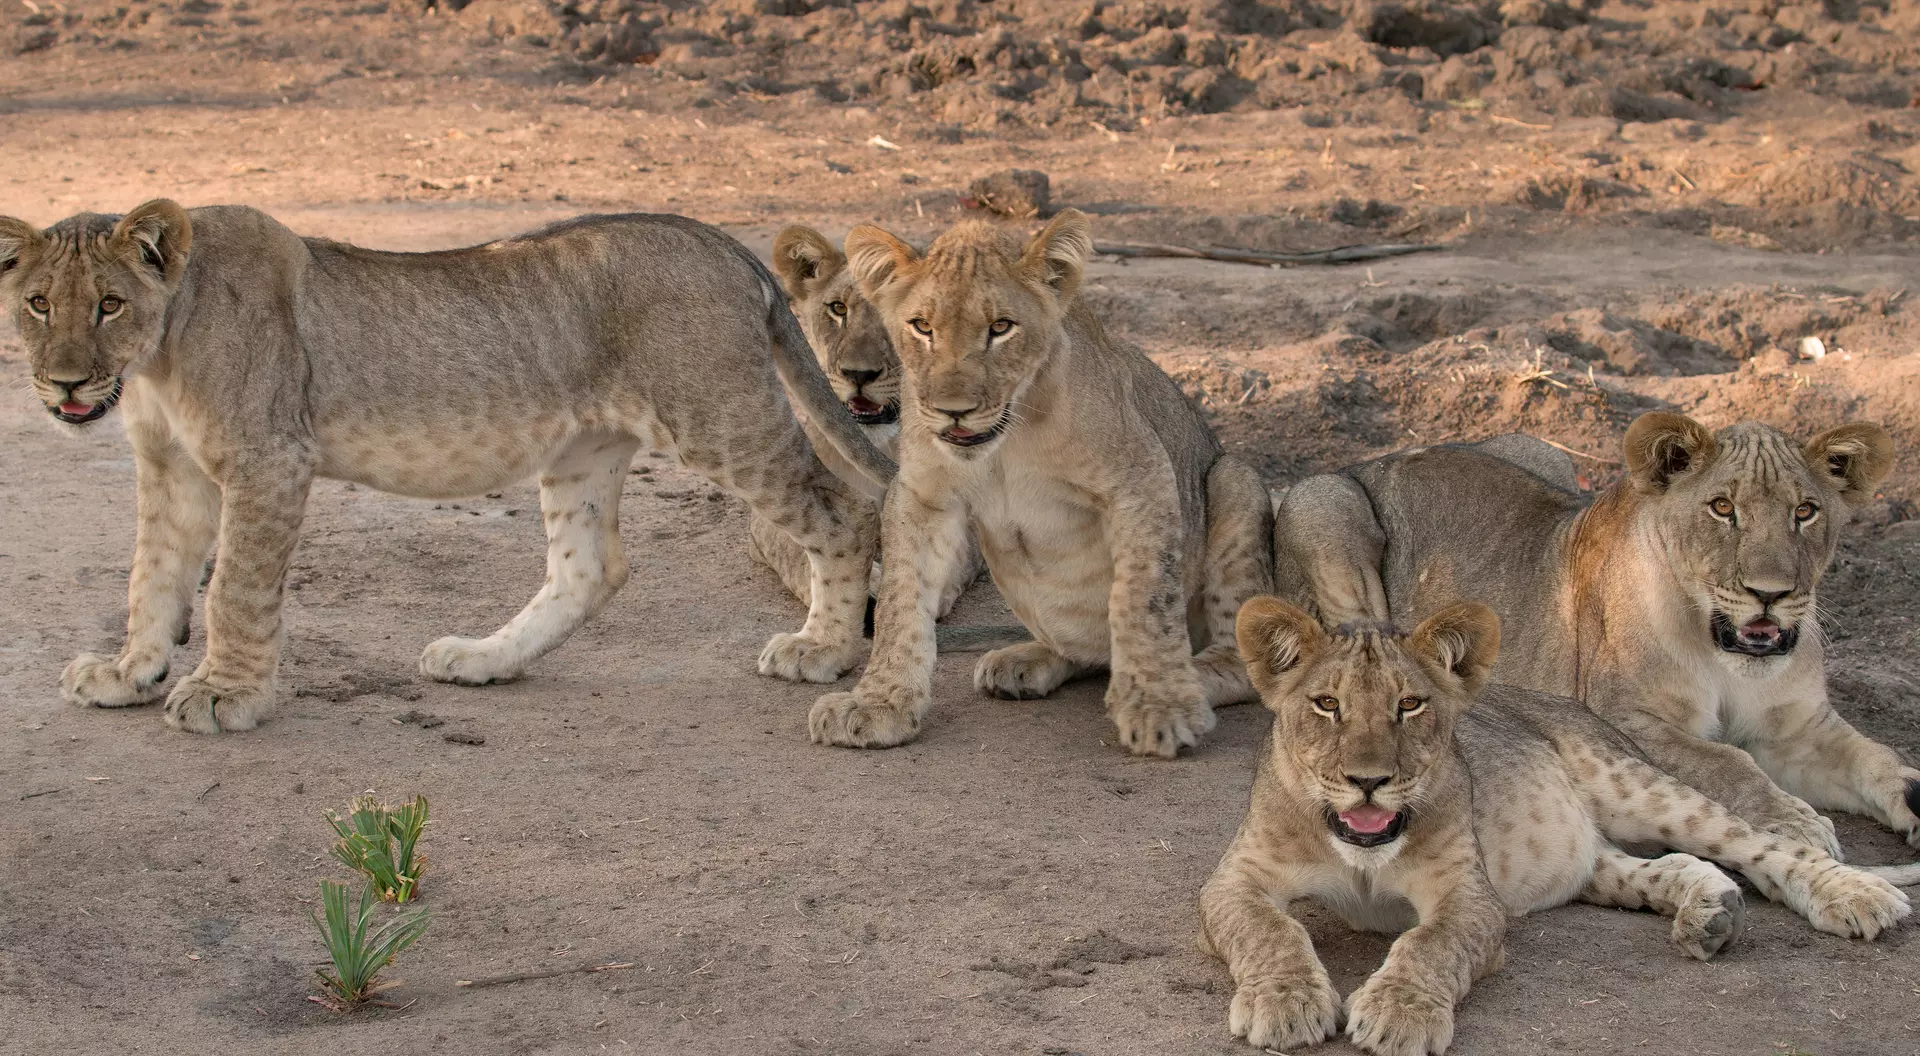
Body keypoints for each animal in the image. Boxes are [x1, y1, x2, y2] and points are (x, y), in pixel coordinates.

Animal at [0, 201, 894, 733]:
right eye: (39, 303)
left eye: (109, 304)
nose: (66, 383)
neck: (156, 355)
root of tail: (724, 244)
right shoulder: (170, 468)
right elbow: (150, 578)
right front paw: (129, 673)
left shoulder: (269, 460)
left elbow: (233, 591)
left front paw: (227, 695)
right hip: (584, 449)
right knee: (591, 570)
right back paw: (484, 660)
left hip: (720, 417)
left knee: (843, 511)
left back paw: (822, 649)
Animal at [805, 210, 1275, 757]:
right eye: (922, 327)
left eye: (1001, 328)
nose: (953, 411)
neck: (1007, 441)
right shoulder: (921, 495)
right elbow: (899, 604)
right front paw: (879, 704)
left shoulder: (1141, 475)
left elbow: (1143, 595)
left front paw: (1161, 707)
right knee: (1084, 653)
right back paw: (1024, 662)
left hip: (1235, 479)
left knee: (1240, 664)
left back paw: (1188, 680)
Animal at [1202, 597, 1910, 1056]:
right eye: (1326, 704)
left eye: (1410, 704)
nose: (1368, 780)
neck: (1363, 854)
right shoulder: (1233, 879)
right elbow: (1269, 929)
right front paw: (1285, 1002)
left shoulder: (1470, 893)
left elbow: (1431, 943)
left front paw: (1397, 1014)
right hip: (1587, 860)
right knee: (1668, 865)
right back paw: (1711, 915)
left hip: (1633, 784)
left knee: (1758, 842)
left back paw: (1855, 894)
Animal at [1274, 414, 1918, 857]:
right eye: (1722, 508)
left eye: (1805, 512)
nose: (1771, 593)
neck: (1725, 655)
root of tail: (1372, 458)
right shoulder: (1627, 720)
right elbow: (1728, 761)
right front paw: (1799, 823)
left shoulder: (1801, 727)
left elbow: (1878, 758)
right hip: (1322, 501)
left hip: (1539, 450)